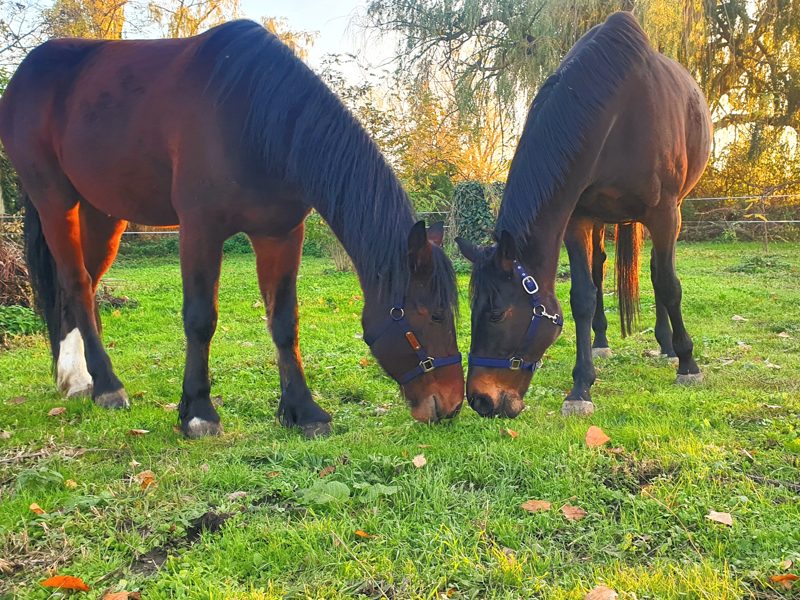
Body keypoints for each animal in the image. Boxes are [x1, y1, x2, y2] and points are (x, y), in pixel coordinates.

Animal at [0, 20, 464, 438]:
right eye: (435, 314)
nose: (452, 404)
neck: (254, 118)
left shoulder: (281, 234)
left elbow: (284, 321)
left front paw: (304, 411)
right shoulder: (200, 229)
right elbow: (200, 318)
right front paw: (198, 412)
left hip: (104, 213)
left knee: (80, 287)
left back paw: (75, 379)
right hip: (55, 200)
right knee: (76, 283)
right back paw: (107, 386)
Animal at [456, 11, 712, 418]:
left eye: (497, 313)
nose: (482, 400)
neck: (622, 112)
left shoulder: (664, 214)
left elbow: (669, 284)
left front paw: (688, 363)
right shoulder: (576, 220)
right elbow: (582, 297)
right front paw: (580, 387)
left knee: (658, 272)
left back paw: (668, 346)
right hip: (599, 220)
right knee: (600, 269)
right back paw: (602, 341)